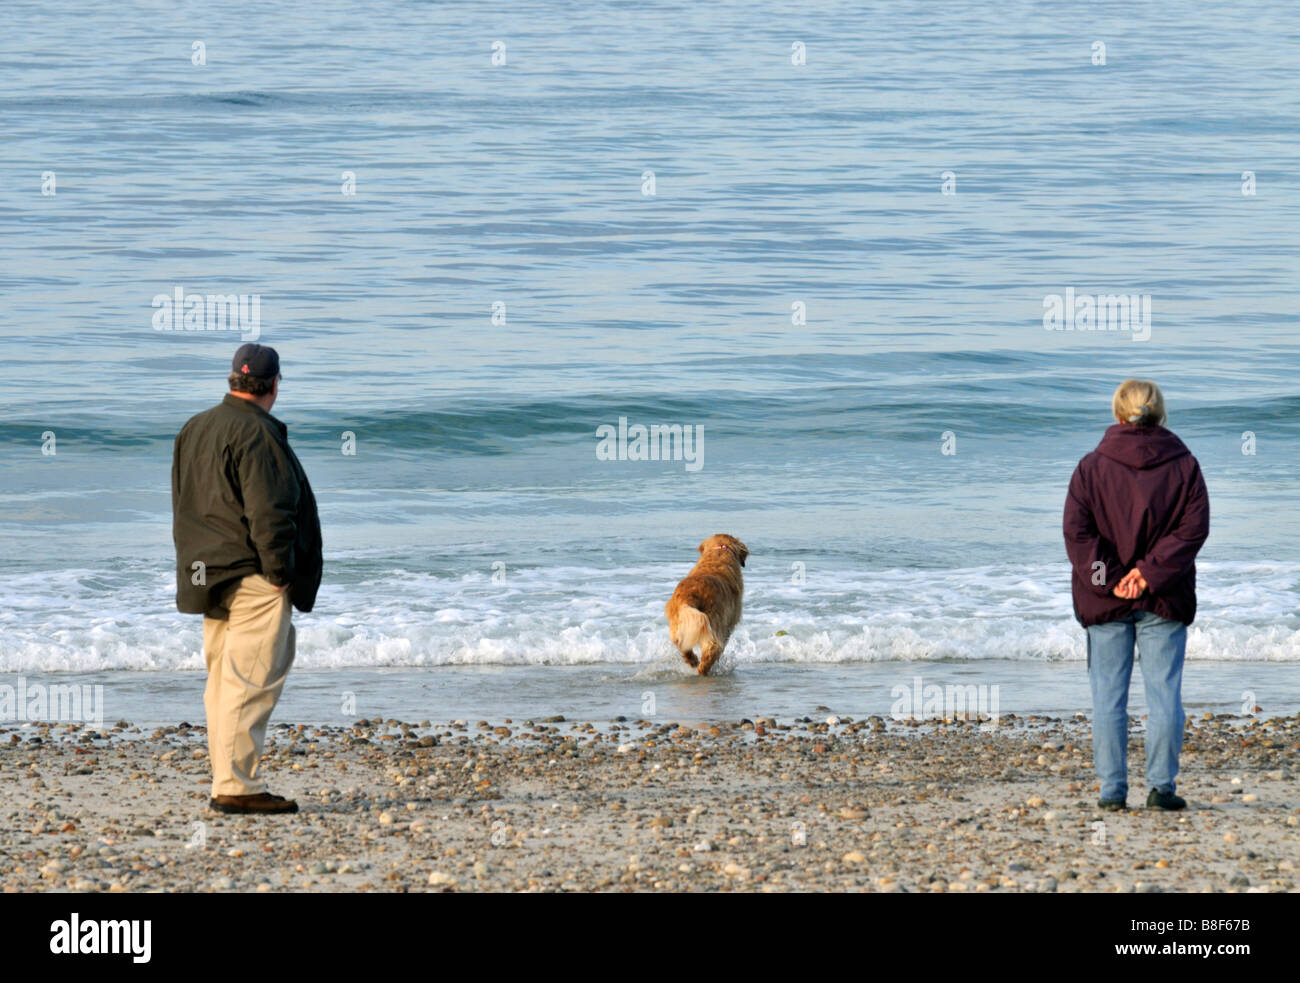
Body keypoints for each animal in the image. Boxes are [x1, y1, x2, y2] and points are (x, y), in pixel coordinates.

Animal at [665, 530, 748, 676]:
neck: (719, 552)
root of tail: (690, 595)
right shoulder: (729, 624)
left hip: (679, 625)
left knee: (681, 644)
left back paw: (693, 661)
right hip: (714, 623)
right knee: (712, 649)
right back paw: (705, 670)